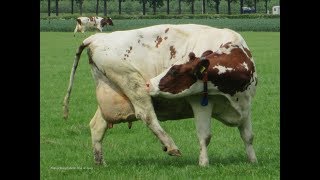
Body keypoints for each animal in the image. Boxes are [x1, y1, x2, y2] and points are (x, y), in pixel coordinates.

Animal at [62, 23, 258, 166]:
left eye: (175, 71)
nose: (150, 83)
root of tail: (98, 37)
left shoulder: (247, 105)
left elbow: (248, 136)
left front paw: (253, 161)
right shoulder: (201, 103)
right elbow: (205, 136)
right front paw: (203, 164)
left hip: (111, 94)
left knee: (97, 126)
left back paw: (100, 163)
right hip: (131, 82)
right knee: (146, 115)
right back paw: (170, 146)